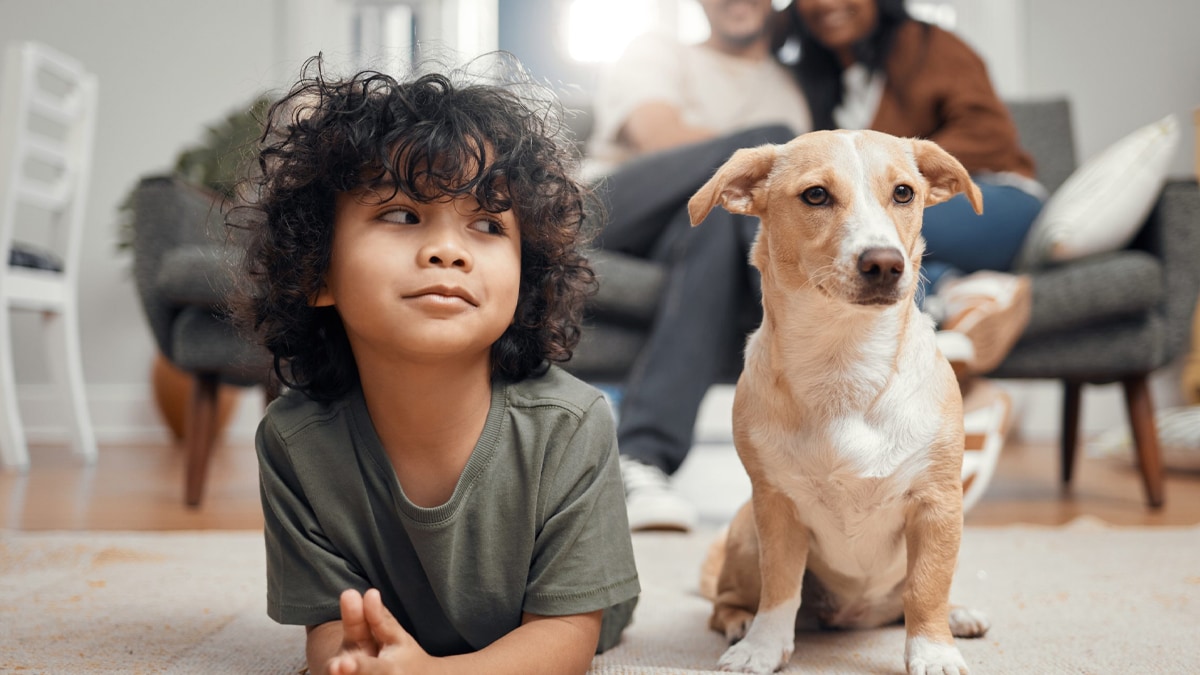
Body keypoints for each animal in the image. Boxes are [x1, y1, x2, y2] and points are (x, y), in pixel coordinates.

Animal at [691, 127, 988, 672]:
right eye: (816, 195)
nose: (885, 263)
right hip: (744, 533)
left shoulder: (938, 505)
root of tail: (857, 616)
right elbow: (780, 588)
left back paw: (958, 615)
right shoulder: (776, 507)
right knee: (725, 601)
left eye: (904, 192)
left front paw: (933, 650)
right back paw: (740, 623)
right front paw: (763, 648)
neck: (845, 362)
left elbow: (927, 587)